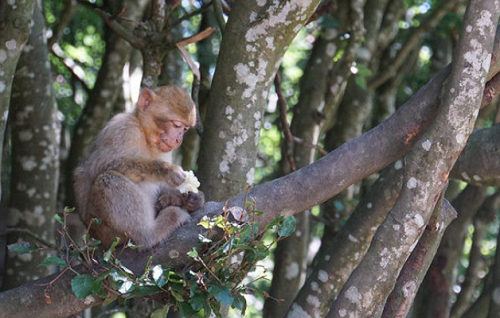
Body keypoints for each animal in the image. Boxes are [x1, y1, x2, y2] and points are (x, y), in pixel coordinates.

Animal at [72, 85, 203, 251]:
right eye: (176, 125)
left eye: (185, 129)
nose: (178, 139)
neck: (144, 134)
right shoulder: (121, 128)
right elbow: (100, 166)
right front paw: (167, 171)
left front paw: (187, 198)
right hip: (104, 230)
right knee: (108, 178)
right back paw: (149, 234)